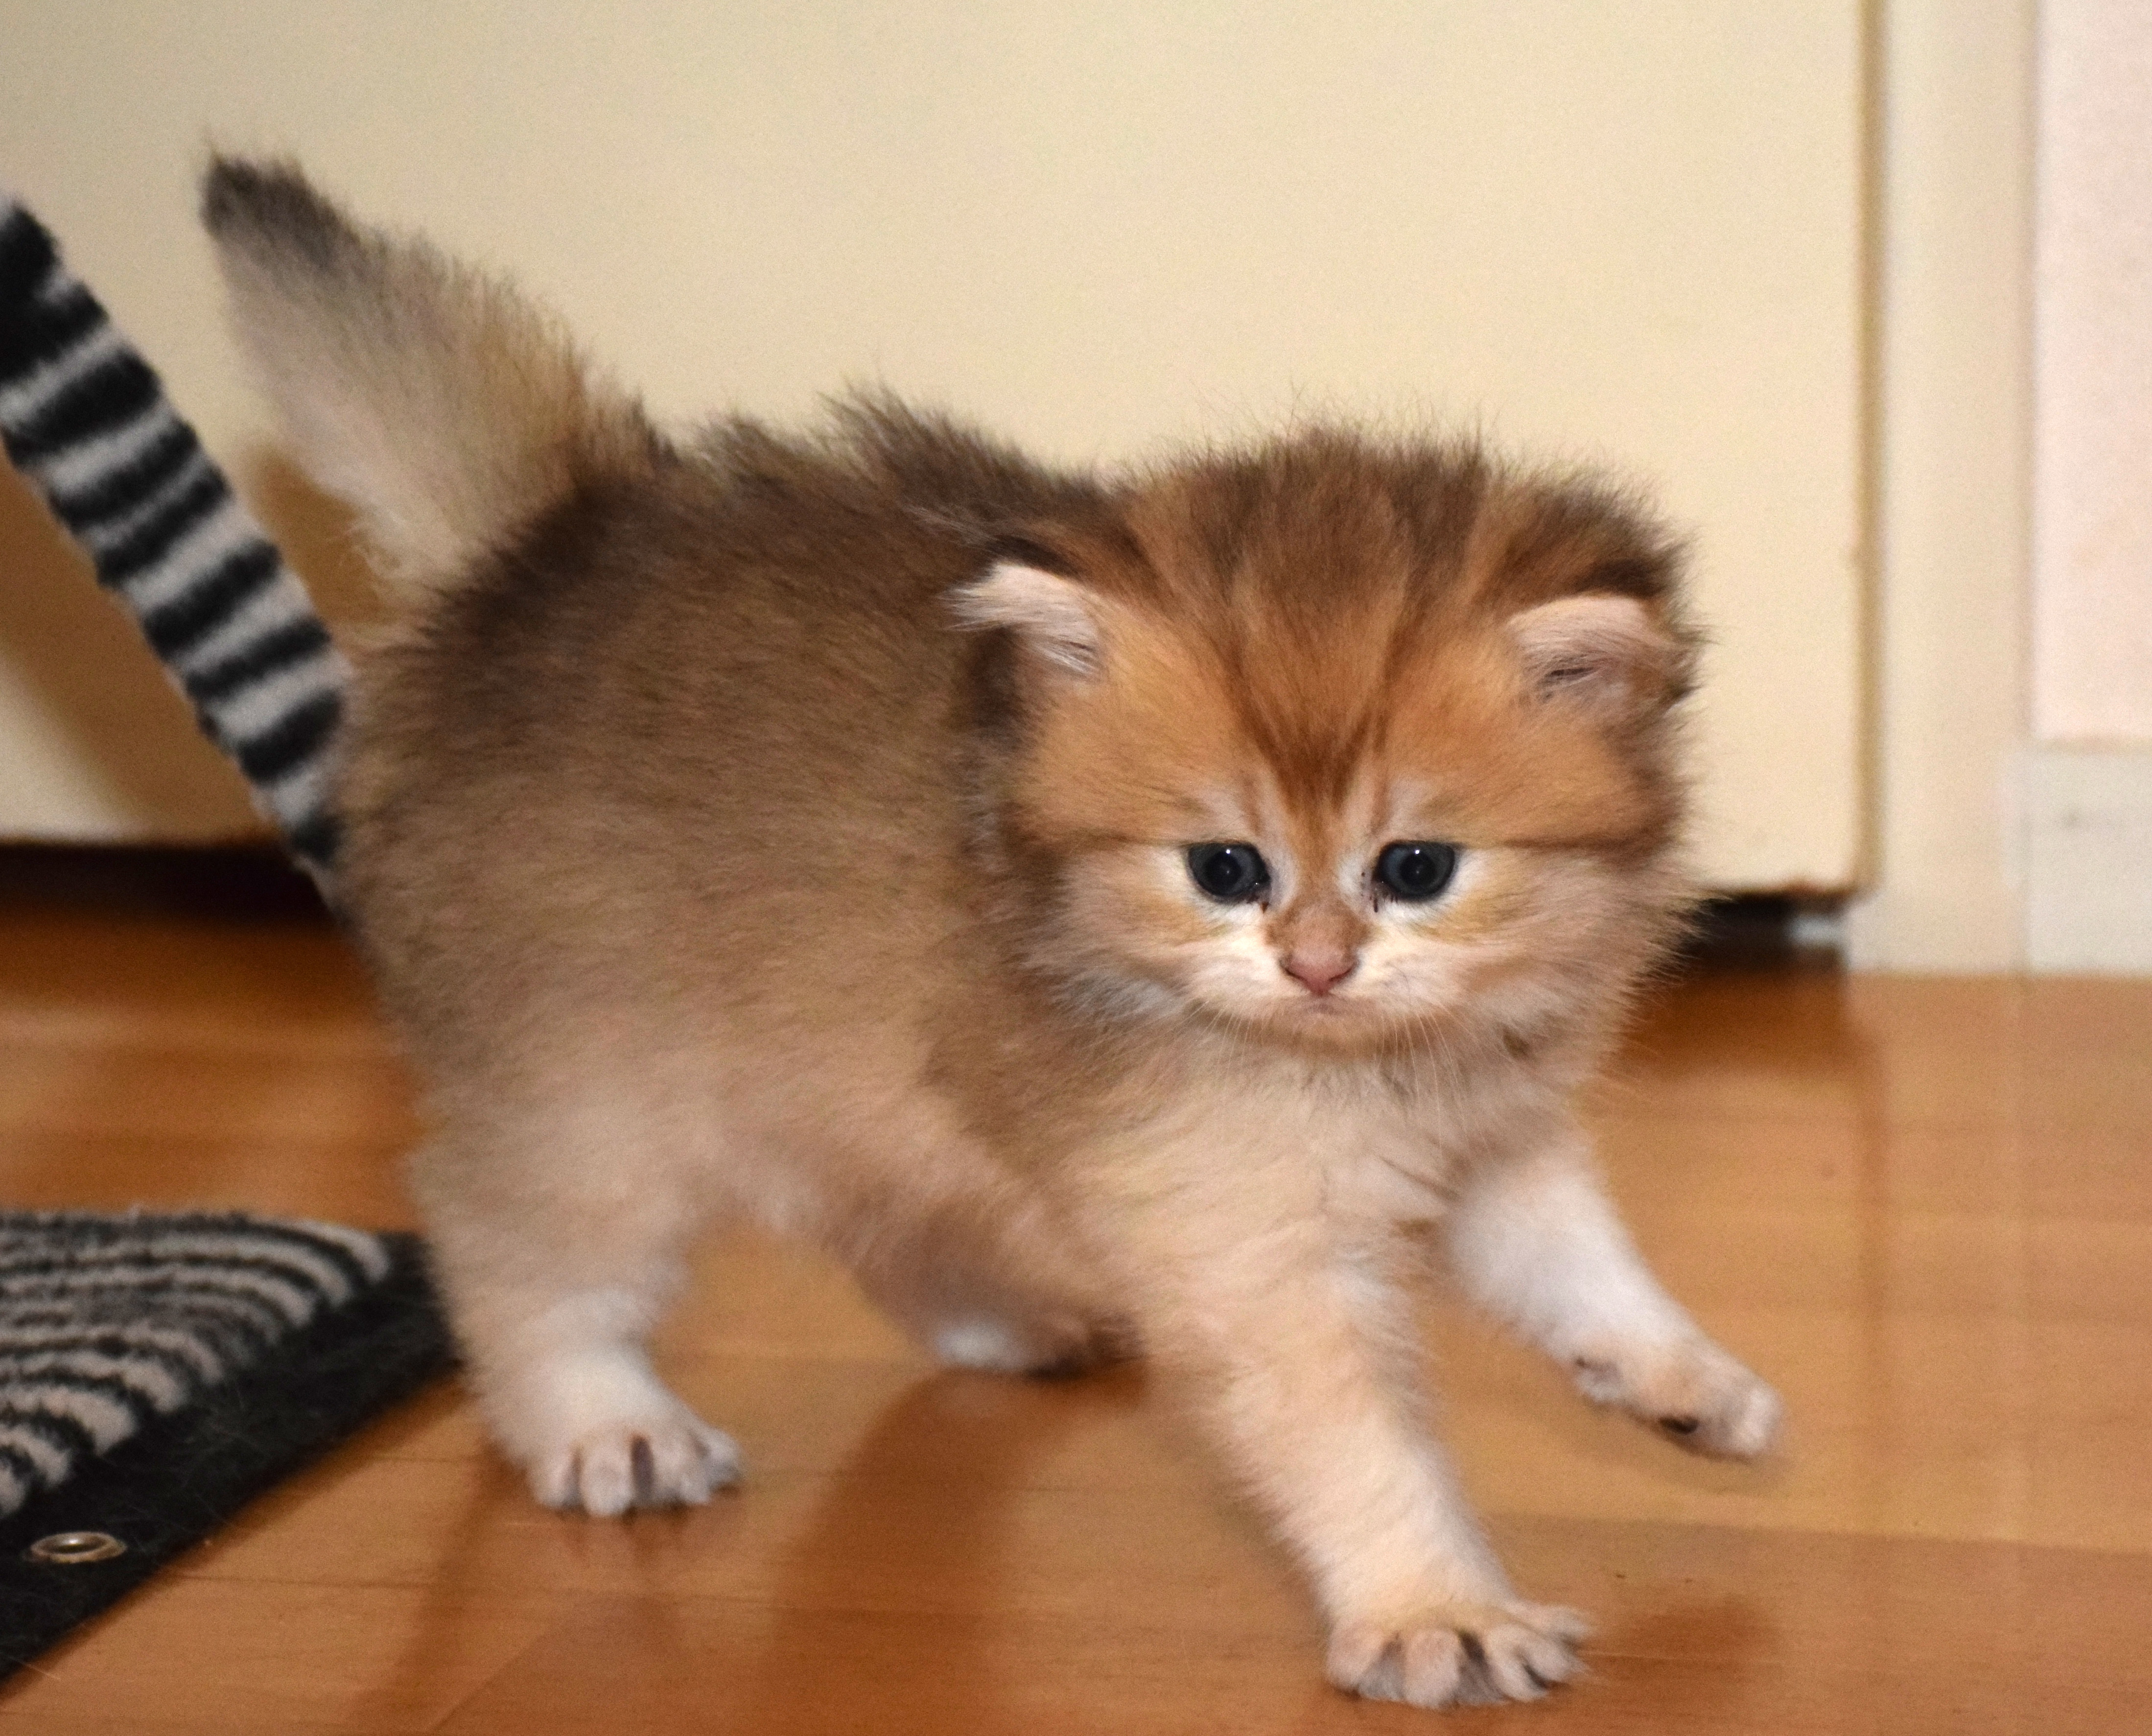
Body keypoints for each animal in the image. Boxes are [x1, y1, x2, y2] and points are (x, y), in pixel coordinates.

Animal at [202, 157, 1780, 1711]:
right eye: (1224, 867)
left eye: (1416, 867)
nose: (1316, 965)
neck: (1374, 1061)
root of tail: (529, 564)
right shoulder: (1246, 1237)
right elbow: (1354, 1441)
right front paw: (1433, 1608)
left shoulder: (1496, 1141)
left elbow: (1587, 1268)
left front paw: (1685, 1381)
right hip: (598, 1103)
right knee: (501, 1234)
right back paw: (600, 1420)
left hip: (840, 1061)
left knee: (865, 1197)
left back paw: (993, 1321)